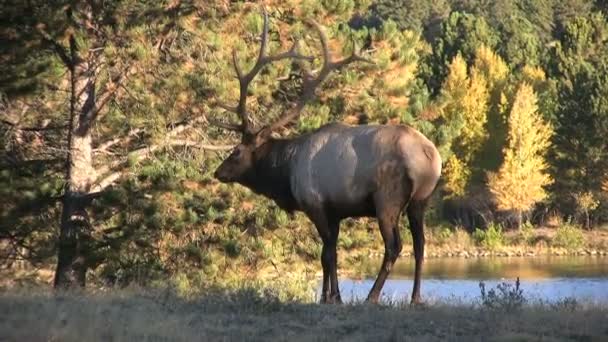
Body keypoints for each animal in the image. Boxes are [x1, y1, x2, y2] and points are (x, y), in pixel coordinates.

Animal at [211, 10, 440, 304]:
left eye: (236, 152)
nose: (218, 172)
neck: (287, 171)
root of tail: (429, 156)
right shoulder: (336, 211)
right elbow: (332, 253)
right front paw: (332, 295)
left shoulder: (316, 203)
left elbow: (326, 253)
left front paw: (330, 298)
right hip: (421, 199)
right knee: (421, 245)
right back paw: (415, 298)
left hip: (387, 198)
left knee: (394, 246)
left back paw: (372, 296)